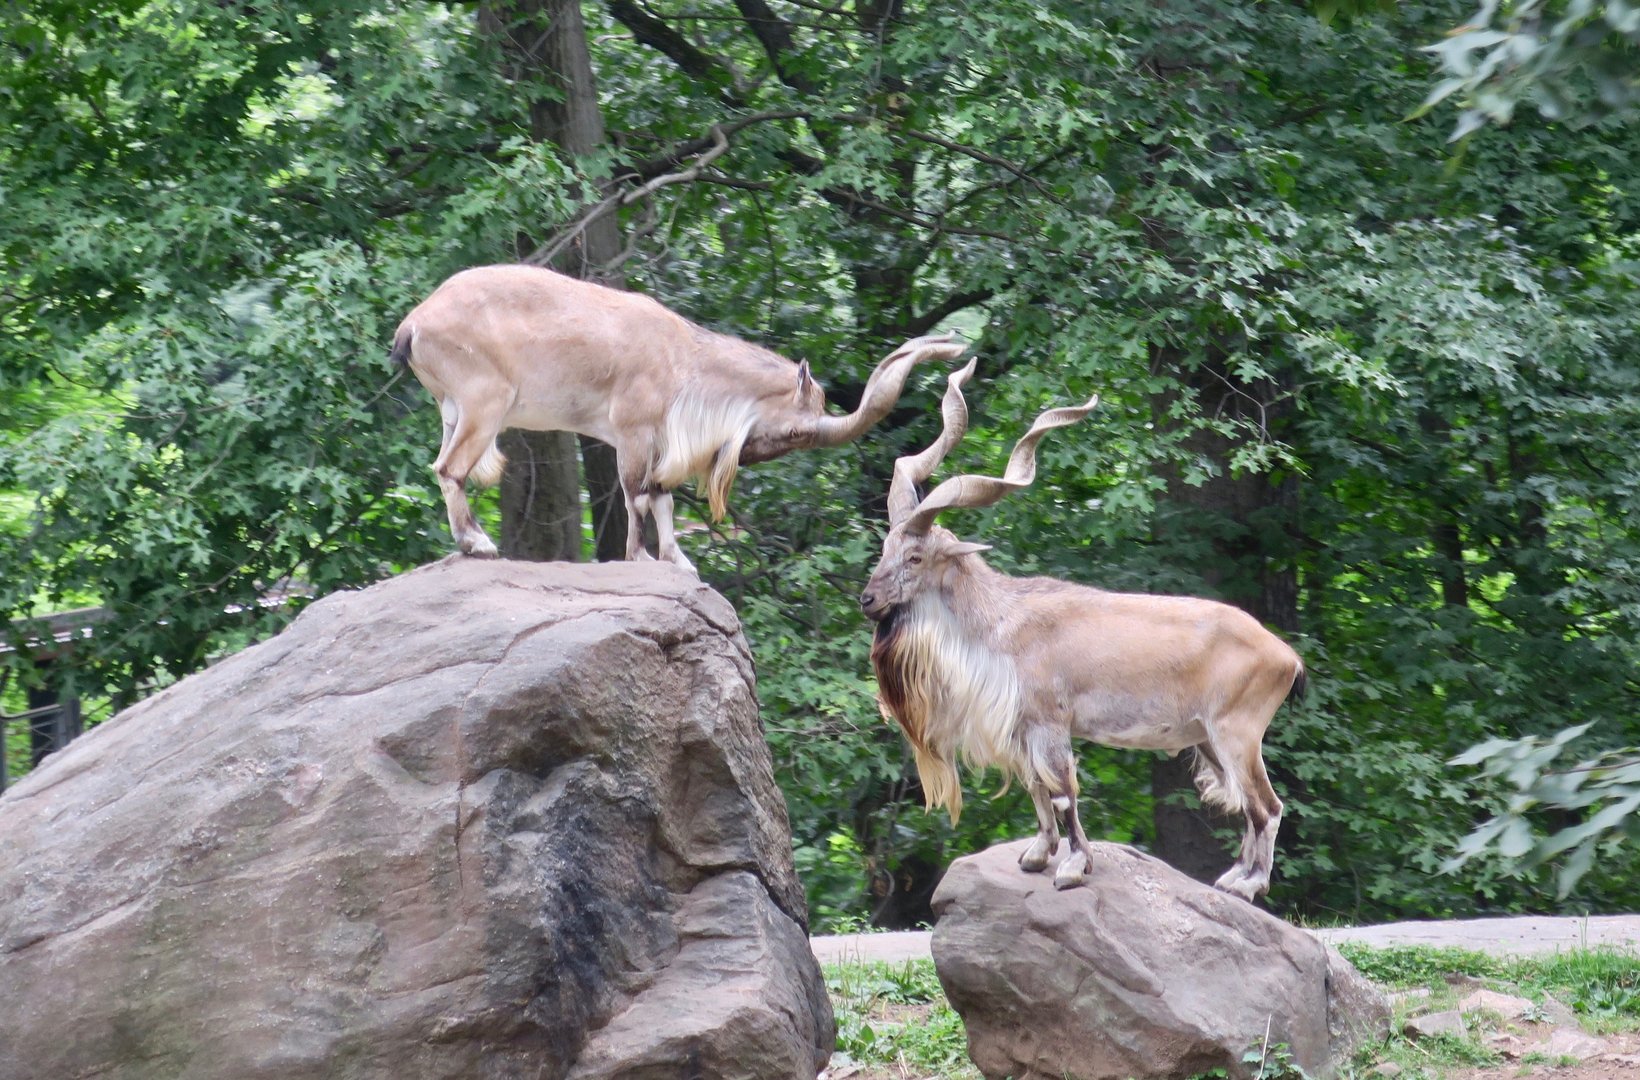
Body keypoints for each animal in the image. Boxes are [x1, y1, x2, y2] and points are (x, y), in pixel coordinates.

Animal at [391, 264, 966, 569]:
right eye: (795, 428)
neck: (681, 358)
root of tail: (414, 324)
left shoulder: (657, 441)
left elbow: (661, 497)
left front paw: (679, 560)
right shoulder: (631, 432)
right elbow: (638, 495)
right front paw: (641, 558)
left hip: (453, 409)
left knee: (444, 465)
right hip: (484, 403)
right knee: (449, 469)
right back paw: (477, 543)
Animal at [860, 360, 1306, 899]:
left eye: (916, 557)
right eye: (886, 548)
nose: (868, 600)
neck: (1000, 624)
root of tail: (1286, 656)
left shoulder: (1051, 723)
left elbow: (1062, 792)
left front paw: (1072, 868)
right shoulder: (1024, 728)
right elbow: (1036, 788)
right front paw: (1036, 856)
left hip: (1237, 732)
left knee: (1267, 805)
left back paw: (1248, 885)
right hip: (1208, 738)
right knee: (1249, 803)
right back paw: (1232, 877)